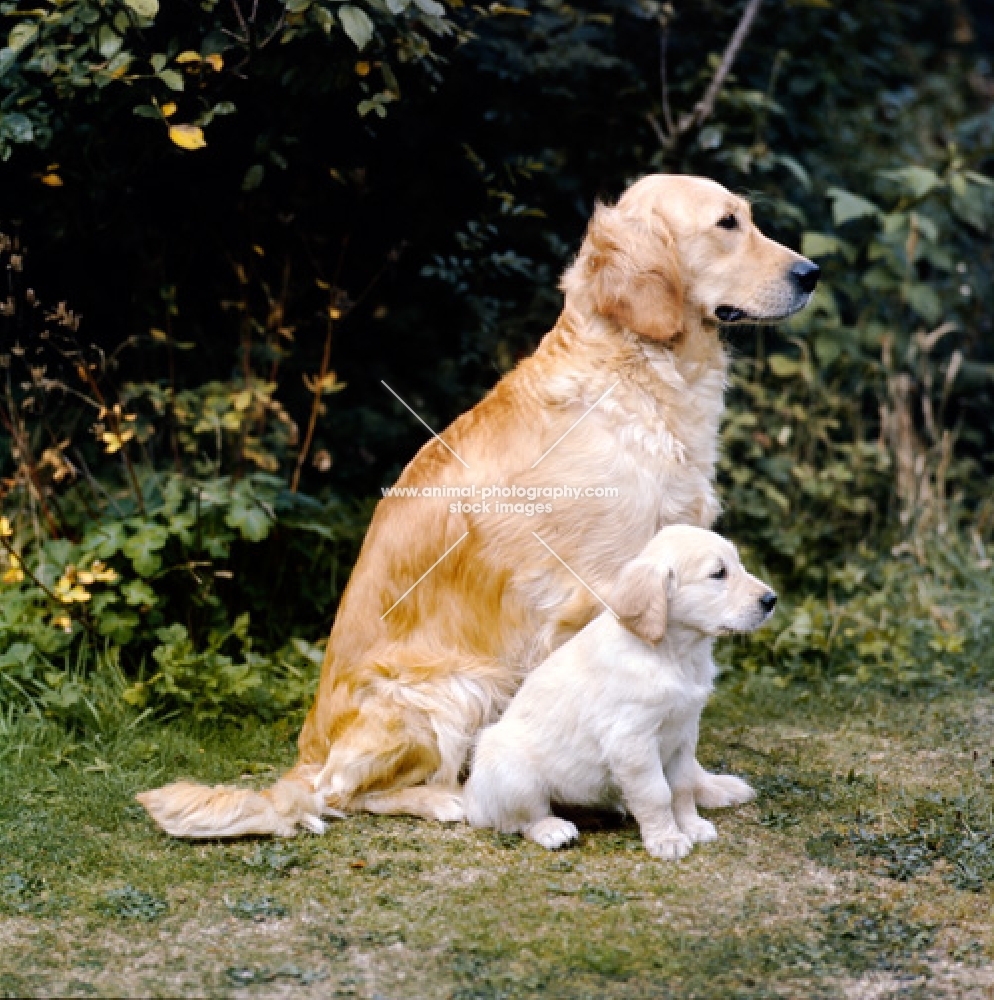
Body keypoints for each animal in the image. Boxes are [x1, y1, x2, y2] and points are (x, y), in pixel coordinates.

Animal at [462, 524, 772, 860]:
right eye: (718, 573)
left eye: (738, 564)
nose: (771, 599)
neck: (674, 654)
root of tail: (473, 801)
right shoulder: (632, 741)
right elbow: (657, 793)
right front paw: (667, 839)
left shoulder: (685, 732)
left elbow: (682, 786)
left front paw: (692, 826)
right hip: (511, 770)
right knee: (522, 818)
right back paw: (553, 829)